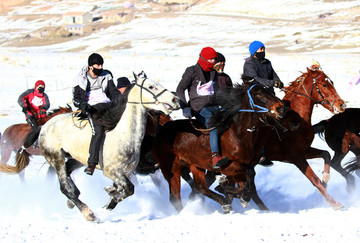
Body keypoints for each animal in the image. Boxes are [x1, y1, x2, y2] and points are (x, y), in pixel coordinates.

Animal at [19, 71, 179, 221]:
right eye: (151, 87)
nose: (174, 100)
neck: (123, 134)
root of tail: (44, 126)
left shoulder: (126, 173)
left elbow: (120, 195)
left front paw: (110, 196)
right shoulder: (112, 171)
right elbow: (129, 189)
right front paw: (110, 194)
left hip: (76, 159)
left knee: (69, 173)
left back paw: (74, 198)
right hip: (56, 158)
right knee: (65, 188)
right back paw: (88, 213)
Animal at [152, 82, 290, 213]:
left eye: (268, 91)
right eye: (259, 93)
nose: (281, 108)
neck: (237, 134)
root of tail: (160, 131)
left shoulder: (240, 167)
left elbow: (245, 183)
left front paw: (234, 193)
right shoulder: (229, 166)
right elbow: (249, 174)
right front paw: (239, 195)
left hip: (195, 164)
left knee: (200, 187)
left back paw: (224, 202)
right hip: (171, 166)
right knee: (175, 197)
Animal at [262, 63, 346, 210]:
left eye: (332, 82)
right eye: (324, 84)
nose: (341, 105)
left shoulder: (304, 151)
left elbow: (326, 154)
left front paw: (325, 180)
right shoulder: (296, 156)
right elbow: (314, 179)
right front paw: (334, 203)